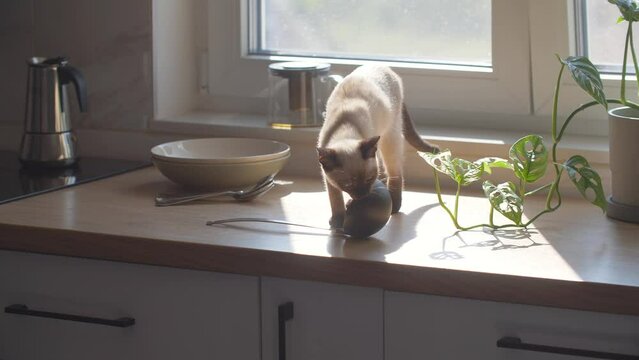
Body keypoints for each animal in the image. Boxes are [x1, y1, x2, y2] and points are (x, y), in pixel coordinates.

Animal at [316, 64, 438, 228]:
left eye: (369, 179)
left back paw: (395, 207)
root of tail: (384, 66)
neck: (345, 131)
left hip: (389, 137)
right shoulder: (328, 178)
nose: (362, 196)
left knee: (396, 174)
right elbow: (334, 198)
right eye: (348, 184)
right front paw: (337, 221)